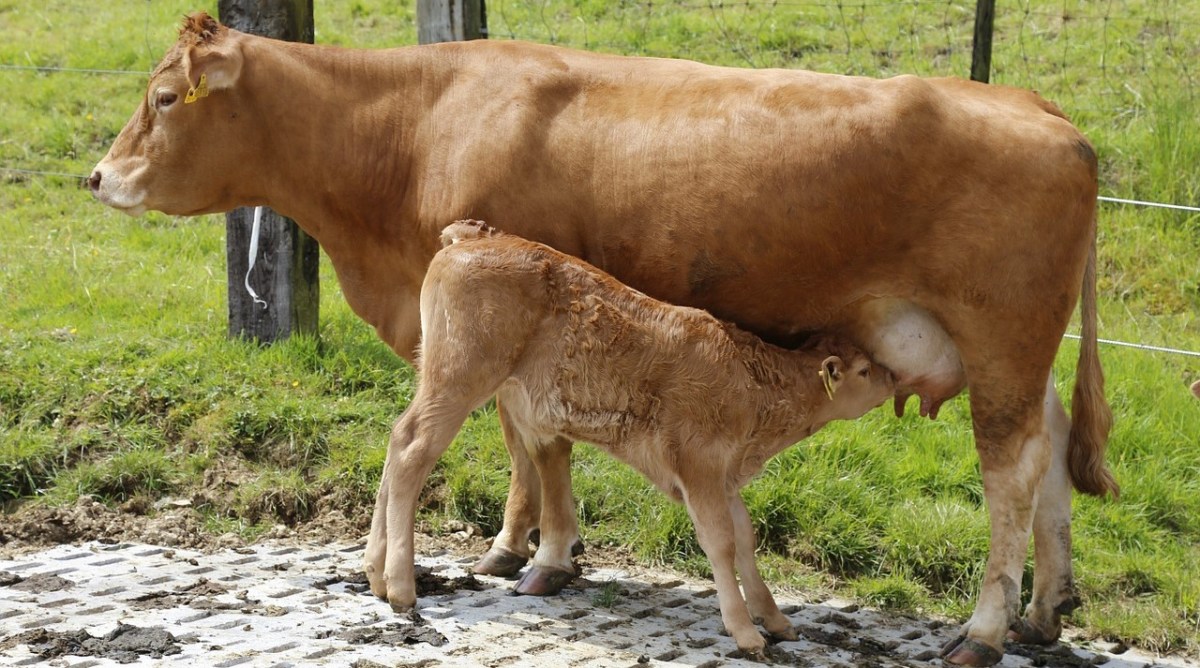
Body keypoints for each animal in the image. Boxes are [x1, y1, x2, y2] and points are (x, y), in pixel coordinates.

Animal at [373, 220, 896, 654]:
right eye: (865, 370)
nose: (893, 377)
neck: (752, 387)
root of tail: (475, 236)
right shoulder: (700, 466)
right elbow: (721, 543)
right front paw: (746, 632)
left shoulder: (725, 474)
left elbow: (746, 540)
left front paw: (775, 619)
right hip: (460, 375)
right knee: (414, 449)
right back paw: (400, 585)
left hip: (439, 373)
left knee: (397, 438)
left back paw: (375, 571)